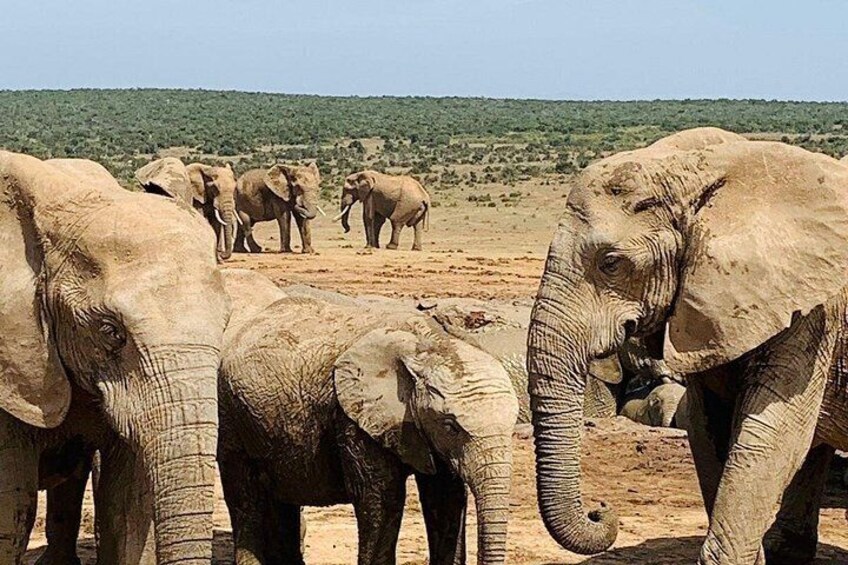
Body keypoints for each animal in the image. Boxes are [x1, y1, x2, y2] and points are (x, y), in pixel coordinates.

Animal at [218, 296, 518, 565]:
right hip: (231, 414)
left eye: (514, 421)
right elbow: (382, 498)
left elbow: (446, 498)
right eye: (451, 426)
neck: (432, 343)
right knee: (245, 501)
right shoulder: (352, 416)